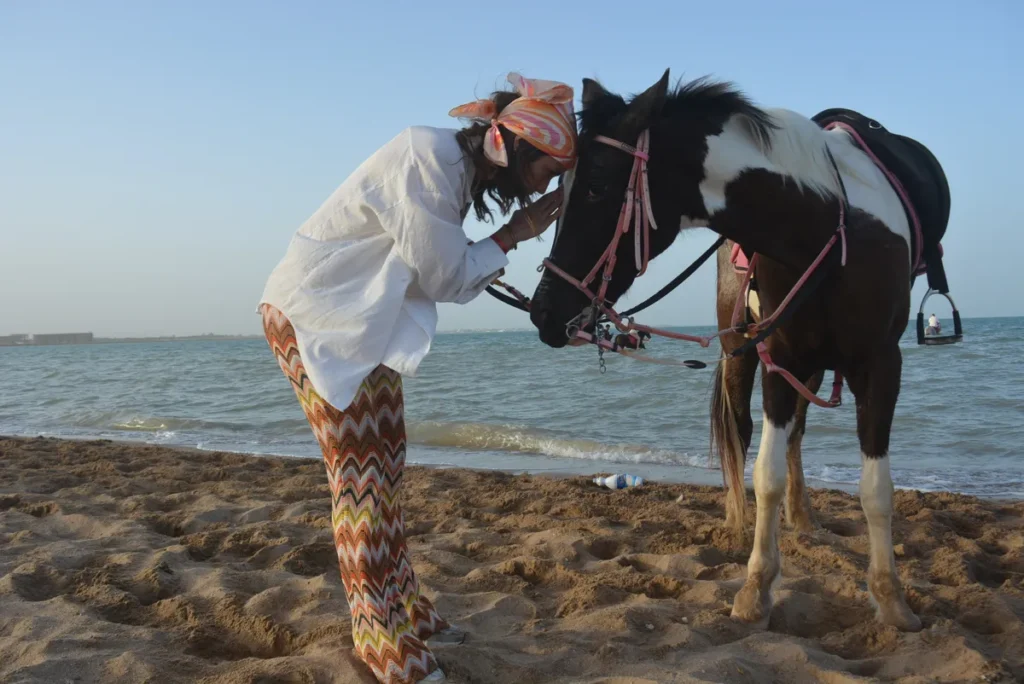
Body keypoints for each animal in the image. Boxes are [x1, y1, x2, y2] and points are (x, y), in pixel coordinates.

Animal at [529, 69, 948, 632]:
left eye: (596, 187)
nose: (543, 312)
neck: (828, 227)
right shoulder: (777, 358)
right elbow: (765, 472)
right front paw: (756, 587)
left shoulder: (881, 365)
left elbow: (876, 488)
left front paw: (890, 598)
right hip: (742, 354)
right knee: (745, 433)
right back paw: (738, 517)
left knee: (797, 436)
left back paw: (803, 516)